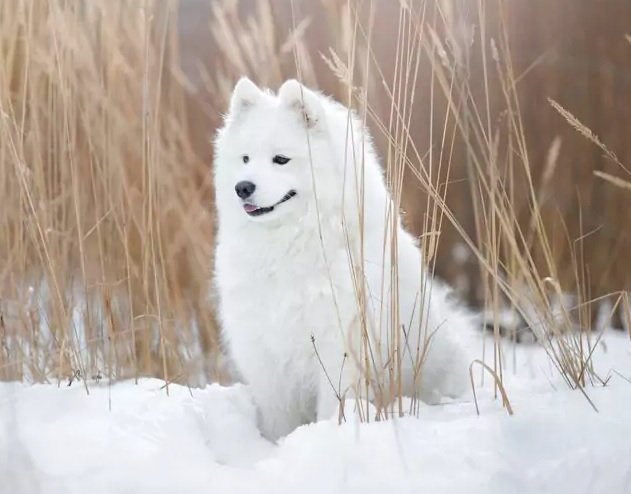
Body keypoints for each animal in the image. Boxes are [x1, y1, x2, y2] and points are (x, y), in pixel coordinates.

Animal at [212, 79, 474, 442]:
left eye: (281, 159)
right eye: (245, 158)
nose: (243, 187)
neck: (291, 245)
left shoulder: (341, 349)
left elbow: (333, 407)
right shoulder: (267, 356)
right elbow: (279, 420)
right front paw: (277, 445)